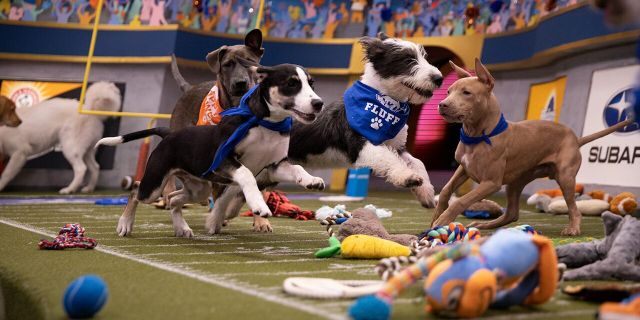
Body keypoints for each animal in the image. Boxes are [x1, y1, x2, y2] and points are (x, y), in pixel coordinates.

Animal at [96, 63, 324, 238]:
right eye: (291, 83)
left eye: (311, 83)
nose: (318, 103)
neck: (266, 124)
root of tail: (169, 134)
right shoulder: (224, 160)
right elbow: (246, 174)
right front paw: (258, 204)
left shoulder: (275, 165)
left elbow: (297, 168)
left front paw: (311, 180)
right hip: (154, 185)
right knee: (136, 190)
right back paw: (125, 224)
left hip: (198, 188)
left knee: (174, 199)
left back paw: (182, 228)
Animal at [432, 58, 632, 236]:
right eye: (448, 91)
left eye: (466, 92)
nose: (442, 104)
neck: (478, 134)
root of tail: (576, 138)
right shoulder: (464, 168)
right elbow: (445, 191)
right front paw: (436, 216)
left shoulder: (491, 182)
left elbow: (460, 201)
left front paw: (442, 220)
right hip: (516, 182)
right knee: (512, 213)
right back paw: (485, 224)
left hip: (565, 177)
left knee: (574, 209)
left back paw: (573, 228)